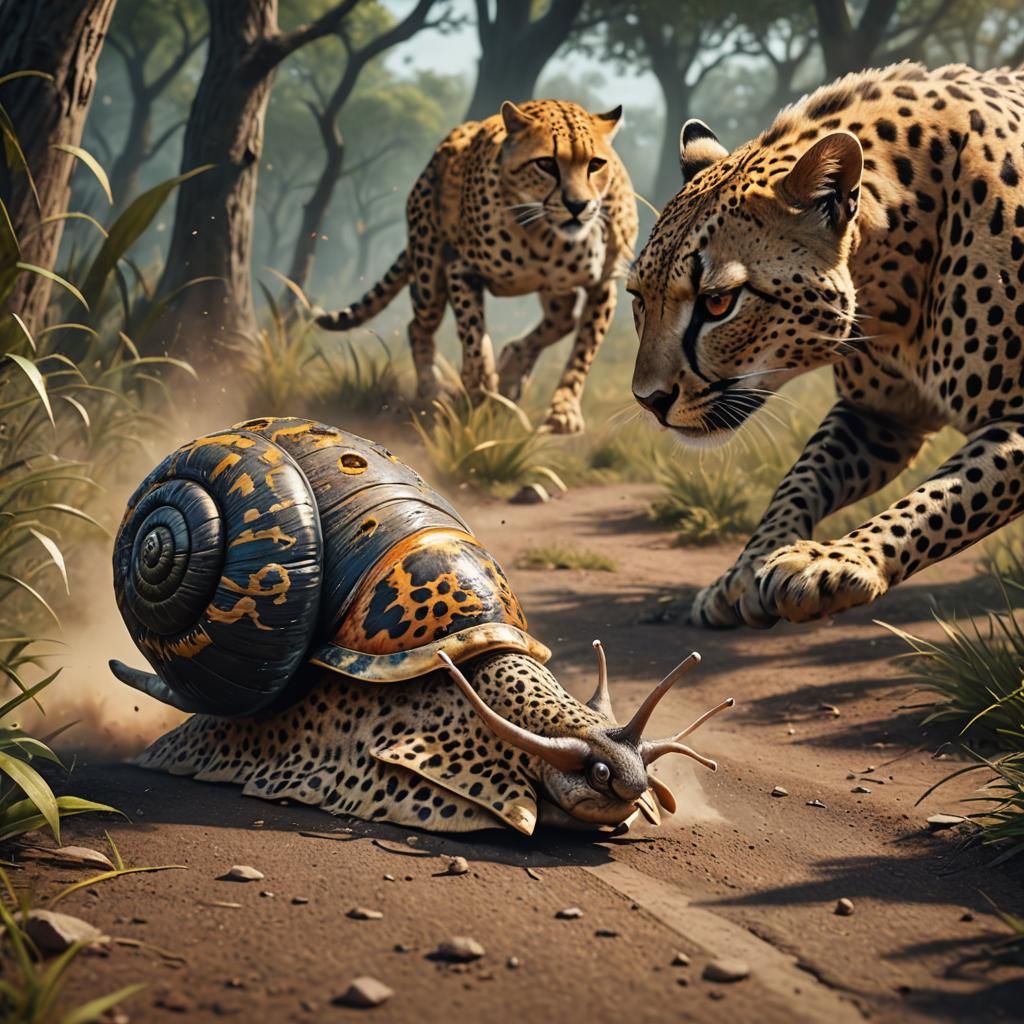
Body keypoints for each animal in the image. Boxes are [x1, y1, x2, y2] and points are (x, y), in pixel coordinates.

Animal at [314, 99, 638, 434]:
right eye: (547, 164)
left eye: (595, 164)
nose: (577, 205)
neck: (545, 234)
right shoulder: (461, 268)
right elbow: (474, 338)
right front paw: (479, 392)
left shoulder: (603, 284)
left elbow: (583, 353)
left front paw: (563, 411)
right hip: (429, 276)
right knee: (419, 326)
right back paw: (434, 388)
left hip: (553, 288)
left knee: (563, 317)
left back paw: (512, 370)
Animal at [628, 61, 1024, 629]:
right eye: (638, 298)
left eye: (718, 303)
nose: (649, 401)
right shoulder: (879, 415)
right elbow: (799, 479)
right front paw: (745, 571)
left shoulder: (1016, 416)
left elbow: (943, 493)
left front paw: (832, 562)